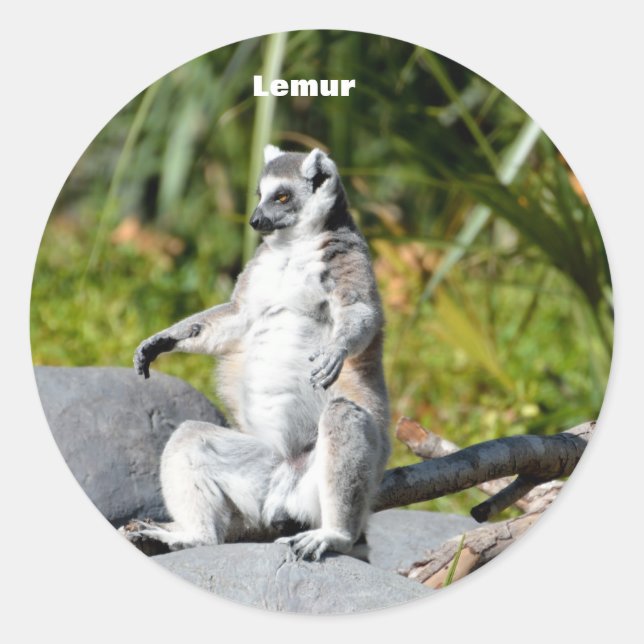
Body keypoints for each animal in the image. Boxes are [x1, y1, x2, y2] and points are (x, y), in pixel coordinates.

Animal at [121, 145, 390, 561]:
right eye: (260, 194)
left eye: (281, 196)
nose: (255, 220)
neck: (293, 247)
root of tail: (286, 481)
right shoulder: (258, 271)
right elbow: (237, 317)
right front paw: (164, 340)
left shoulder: (348, 259)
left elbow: (360, 312)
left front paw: (337, 350)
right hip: (259, 475)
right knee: (190, 436)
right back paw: (193, 536)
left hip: (321, 487)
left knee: (343, 417)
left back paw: (335, 535)